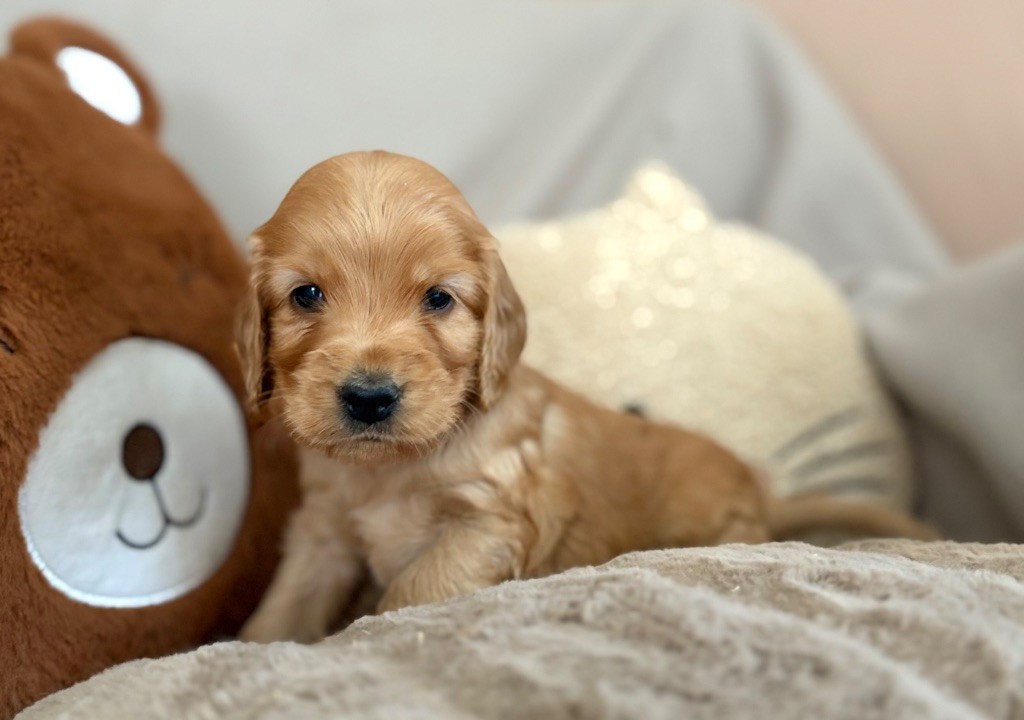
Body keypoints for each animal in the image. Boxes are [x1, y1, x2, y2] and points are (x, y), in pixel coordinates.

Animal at [236, 151, 935, 643]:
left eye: (438, 298)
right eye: (305, 295)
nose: (370, 397)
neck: (390, 470)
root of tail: (763, 492)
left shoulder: (490, 521)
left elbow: (407, 595)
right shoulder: (323, 533)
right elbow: (283, 609)